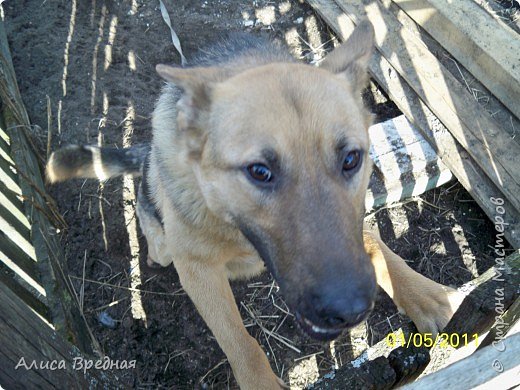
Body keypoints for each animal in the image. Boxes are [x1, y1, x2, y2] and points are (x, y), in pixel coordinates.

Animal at [46, 22, 462, 390]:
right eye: (259, 171)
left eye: (351, 159)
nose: (350, 309)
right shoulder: (197, 270)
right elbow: (238, 339)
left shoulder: (353, 222)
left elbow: (375, 241)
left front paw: (421, 293)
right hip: (165, 240)